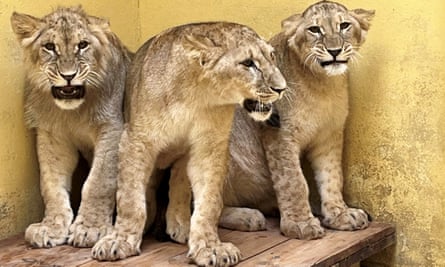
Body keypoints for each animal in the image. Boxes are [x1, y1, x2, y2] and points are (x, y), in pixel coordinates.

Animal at [10, 6, 131, 249]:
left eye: (82, 44)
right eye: (49, 46)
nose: (68, 76)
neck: (72, 113)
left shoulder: (112, 128)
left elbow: (98, 181)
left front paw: (91, 228)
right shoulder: (52, 137)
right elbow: (50, 185)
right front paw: (51, 226)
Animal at [92, 22, 286, 267]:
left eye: (272, 56)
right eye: (248, 63)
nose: (282, 88)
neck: (196, 97)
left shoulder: (209, 148)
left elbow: (210, 202)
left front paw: (210, 247)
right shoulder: (136, 141)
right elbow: (130, 199)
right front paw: (120, 241)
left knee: (180, 186)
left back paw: (182, 227)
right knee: (151, 189)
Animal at [165, 0, 372, 243]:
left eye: (344, 25)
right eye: (314, 29)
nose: (334, 51)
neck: (323, 84)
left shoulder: (329, 137)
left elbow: (332, 177)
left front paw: (340, 215)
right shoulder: (279, 134)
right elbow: (294, 181)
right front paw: (301, 224)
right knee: (203, 204)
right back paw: (247, 217)